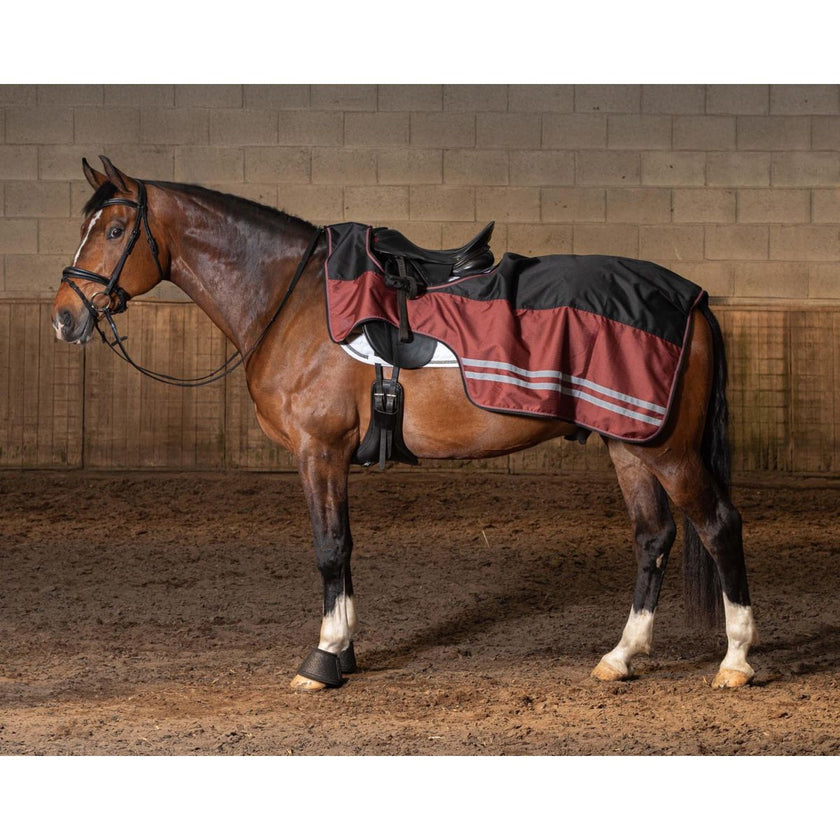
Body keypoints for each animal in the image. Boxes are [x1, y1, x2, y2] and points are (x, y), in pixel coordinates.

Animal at [51, 157, 758, 692]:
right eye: (85, 225)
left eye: (115, 230)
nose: (64, 317)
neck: (293, 301)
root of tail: (692, 299)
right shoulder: (329, 457)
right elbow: (344, 549)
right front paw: (344, 650)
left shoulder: (319, 451)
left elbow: (329, 548)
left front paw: (323, 659)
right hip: (629, 444)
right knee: (653, 537)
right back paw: (621, 656)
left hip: (670, 450)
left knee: (718, 526)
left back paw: (735, 660)